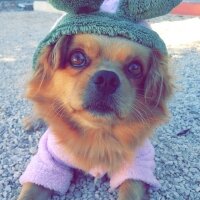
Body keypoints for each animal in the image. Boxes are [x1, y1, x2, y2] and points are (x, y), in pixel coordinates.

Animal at [17, 33, 173, 199]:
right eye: (77, 58)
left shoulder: (138, 163)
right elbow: (31, 192)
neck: (97, 132)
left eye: (135, 68)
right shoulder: (48, 161)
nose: (107, 78)